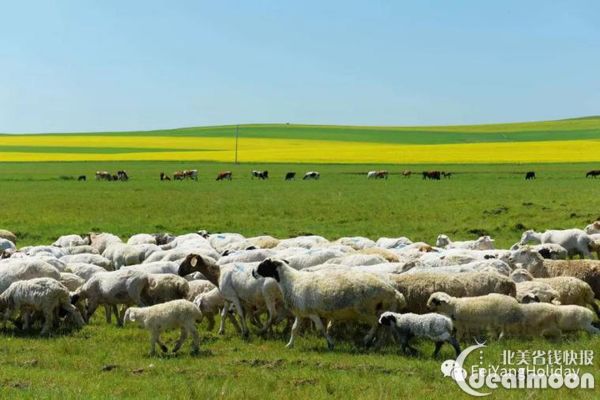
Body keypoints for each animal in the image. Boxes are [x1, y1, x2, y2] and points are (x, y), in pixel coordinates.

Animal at [252, 258, 406, 349]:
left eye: (263, 265)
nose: (253, 272)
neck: (292, 281)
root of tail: (393, 292)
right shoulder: (301, 313)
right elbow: (294, 329)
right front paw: (289, 345)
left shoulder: (312, 312)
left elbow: (321, 328)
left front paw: (330, 343)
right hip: (380, 309)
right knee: (384, 327)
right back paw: (377, 344)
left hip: (365, 309)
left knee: (375, 323)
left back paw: (367, 339)